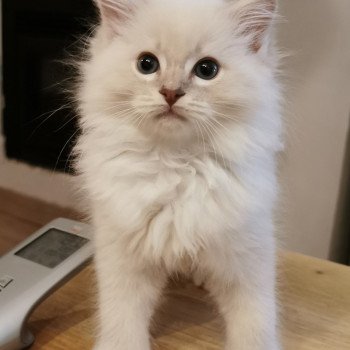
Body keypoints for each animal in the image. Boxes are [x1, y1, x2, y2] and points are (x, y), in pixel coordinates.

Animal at [75, 0, 284, 350]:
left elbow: (254, 325)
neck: (176, 165)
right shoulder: (122, 257)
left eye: (207, 69)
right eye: (147, 64)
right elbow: (123, 322)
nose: (170, 92)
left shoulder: (247, 257)